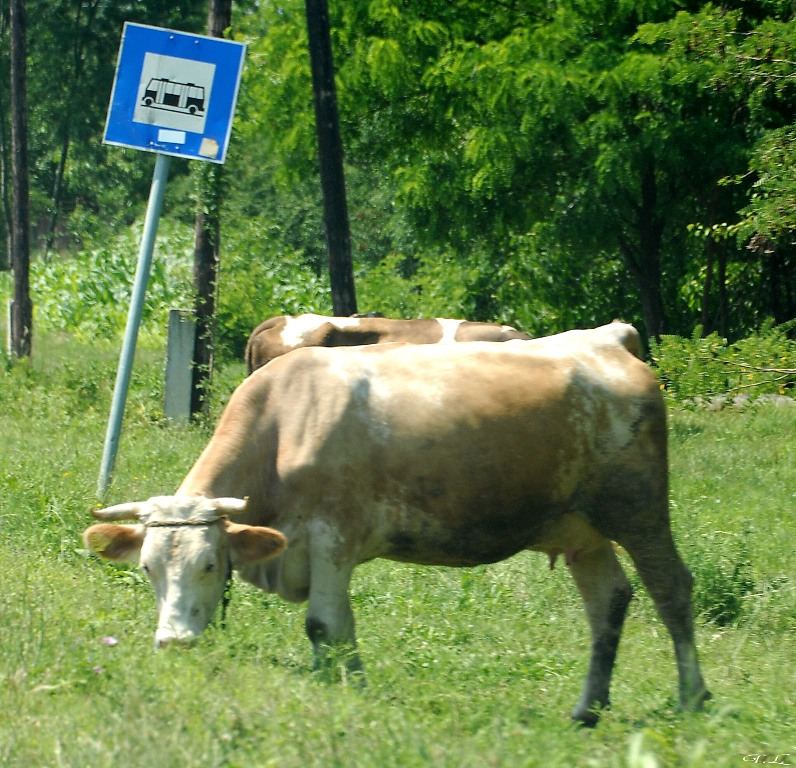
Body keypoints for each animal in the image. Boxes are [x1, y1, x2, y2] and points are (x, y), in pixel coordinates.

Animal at [84, 322, 704, 728]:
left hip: (639, 509)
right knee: (608, 601)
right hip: (580, 529)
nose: (173, 641)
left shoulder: (331, 536)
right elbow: (338, 627)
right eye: (148, 569)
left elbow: (325, 626)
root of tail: (607, 338)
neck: (284, 421)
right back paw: (587, 710)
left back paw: (693, 698)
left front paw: (344, 692)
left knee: (671, 590)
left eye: (211, 564)